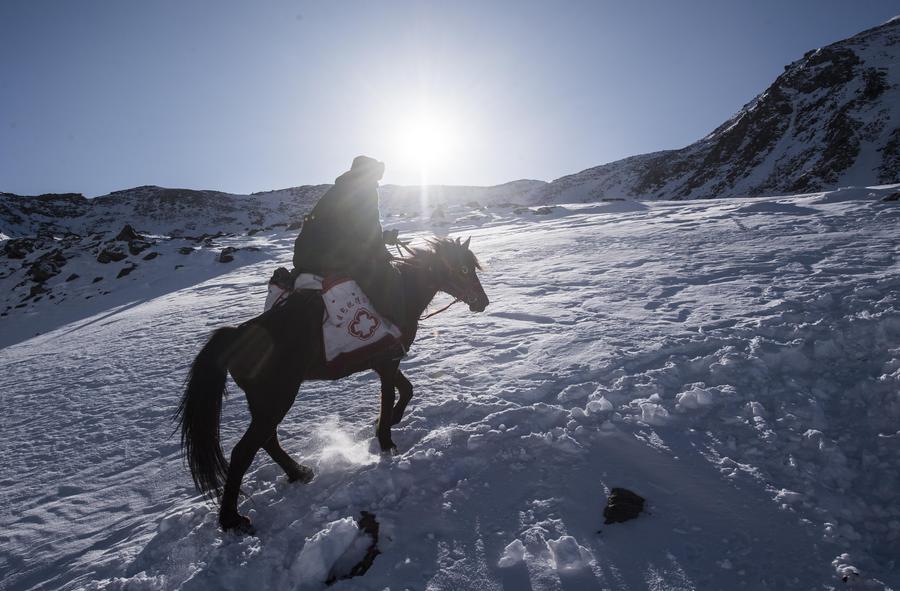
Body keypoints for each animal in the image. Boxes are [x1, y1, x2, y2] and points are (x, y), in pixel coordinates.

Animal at [174, 238, 486, 536]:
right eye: (463, 269)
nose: (482, 302)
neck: (401, 290)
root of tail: (235, 336)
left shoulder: (384, 362)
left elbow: (406, 390)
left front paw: (388, 423)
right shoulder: (387, 361)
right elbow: (390, 396)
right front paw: (386, 440)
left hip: (265, 402)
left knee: (267, 440)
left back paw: (299, 472)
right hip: (277, 398)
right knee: (243, 451)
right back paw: (232, 519)